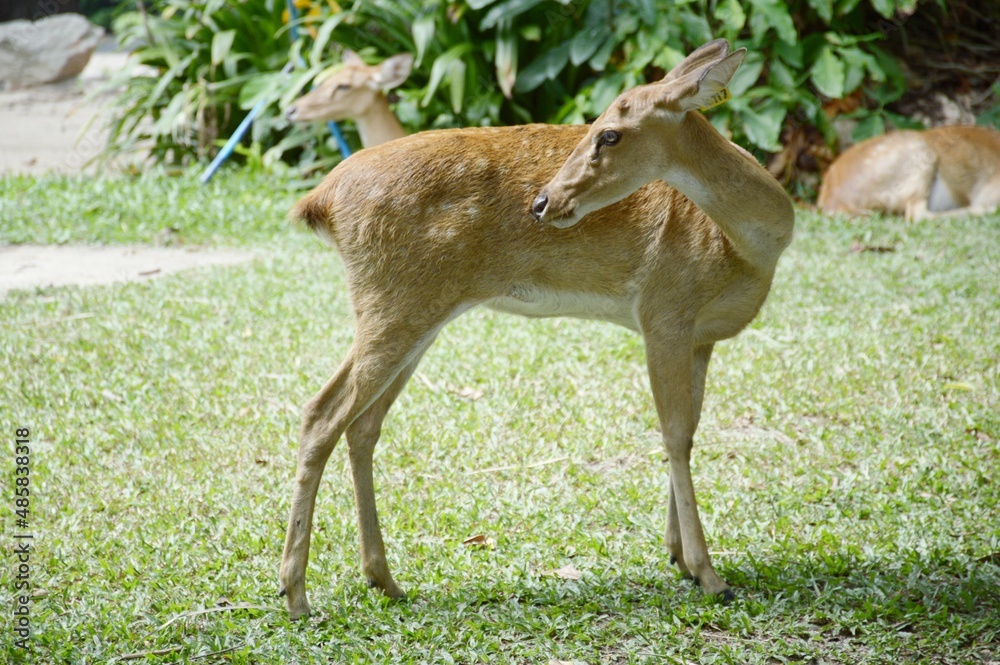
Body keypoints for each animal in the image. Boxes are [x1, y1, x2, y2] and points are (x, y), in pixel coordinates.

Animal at [279, 39, 795, 620]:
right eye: (596, 126)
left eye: (610, 133)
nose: (544, 202)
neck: (746, 246)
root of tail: (320, 201)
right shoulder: (663, 312)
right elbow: (675, 434)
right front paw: (709, 576)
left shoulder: (701, 337)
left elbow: (688, 431)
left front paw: (680, 557)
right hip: (394, 306)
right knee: (321, 414)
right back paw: (296, 594)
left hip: (409, 312)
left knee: (362, 425)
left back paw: (384, 580)